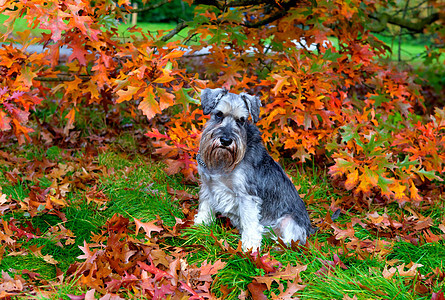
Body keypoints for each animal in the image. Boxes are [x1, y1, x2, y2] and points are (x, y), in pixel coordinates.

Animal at [194, 88, 316, 252]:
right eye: (219, 114)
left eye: (241, 120)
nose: (226, 140)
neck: (223, 163)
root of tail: (310, 229)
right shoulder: (208, 185)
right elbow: (205, 207)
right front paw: (199, 226)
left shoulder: (247, 196)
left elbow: (250, 222)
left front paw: (250, 247)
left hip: (288, 222)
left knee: (292, 241)